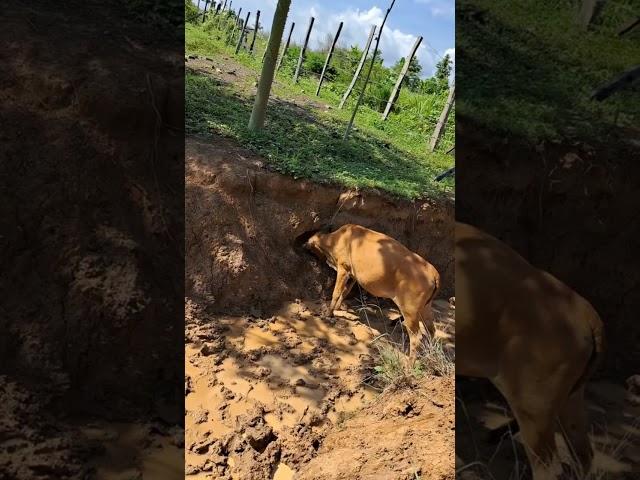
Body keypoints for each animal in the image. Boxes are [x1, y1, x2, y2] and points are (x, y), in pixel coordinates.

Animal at [304, 223, 440, 366]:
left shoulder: (343, 268)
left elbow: (336, 292)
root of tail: (434, 274)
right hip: (425, 308)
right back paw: (428, 354)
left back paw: (409, 364)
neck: (336, 238)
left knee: (416, 337)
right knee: (431, 330)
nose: (304, 246)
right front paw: (338, 308)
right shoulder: (352, 276)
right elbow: (345, 291)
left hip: (409, 311)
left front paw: (328, 313)